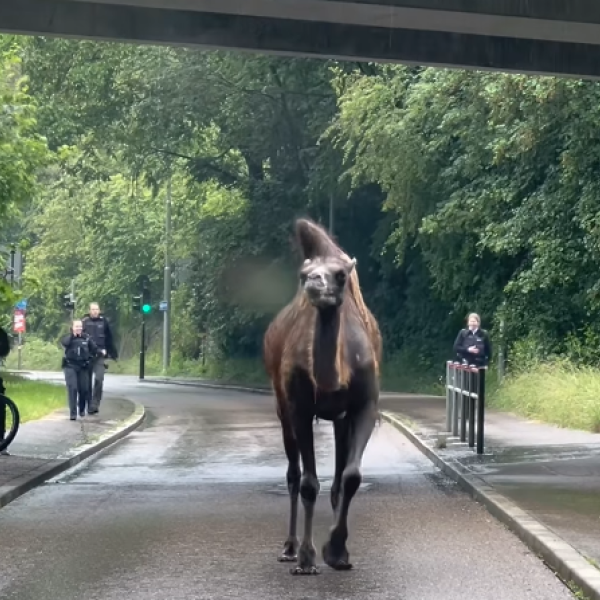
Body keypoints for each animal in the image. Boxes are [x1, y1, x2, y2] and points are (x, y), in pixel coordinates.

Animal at [264, 218, 384, 576]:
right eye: (304, 274)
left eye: (341, 275)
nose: (315, 284)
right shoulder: (299, 407)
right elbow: (308, 482)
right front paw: (307, 557)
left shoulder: (364, 405)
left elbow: (351, 476)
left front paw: (338, 550)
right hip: (281, 406)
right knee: (293, 474)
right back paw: (289, 548)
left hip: (339, 419)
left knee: (337, 475)